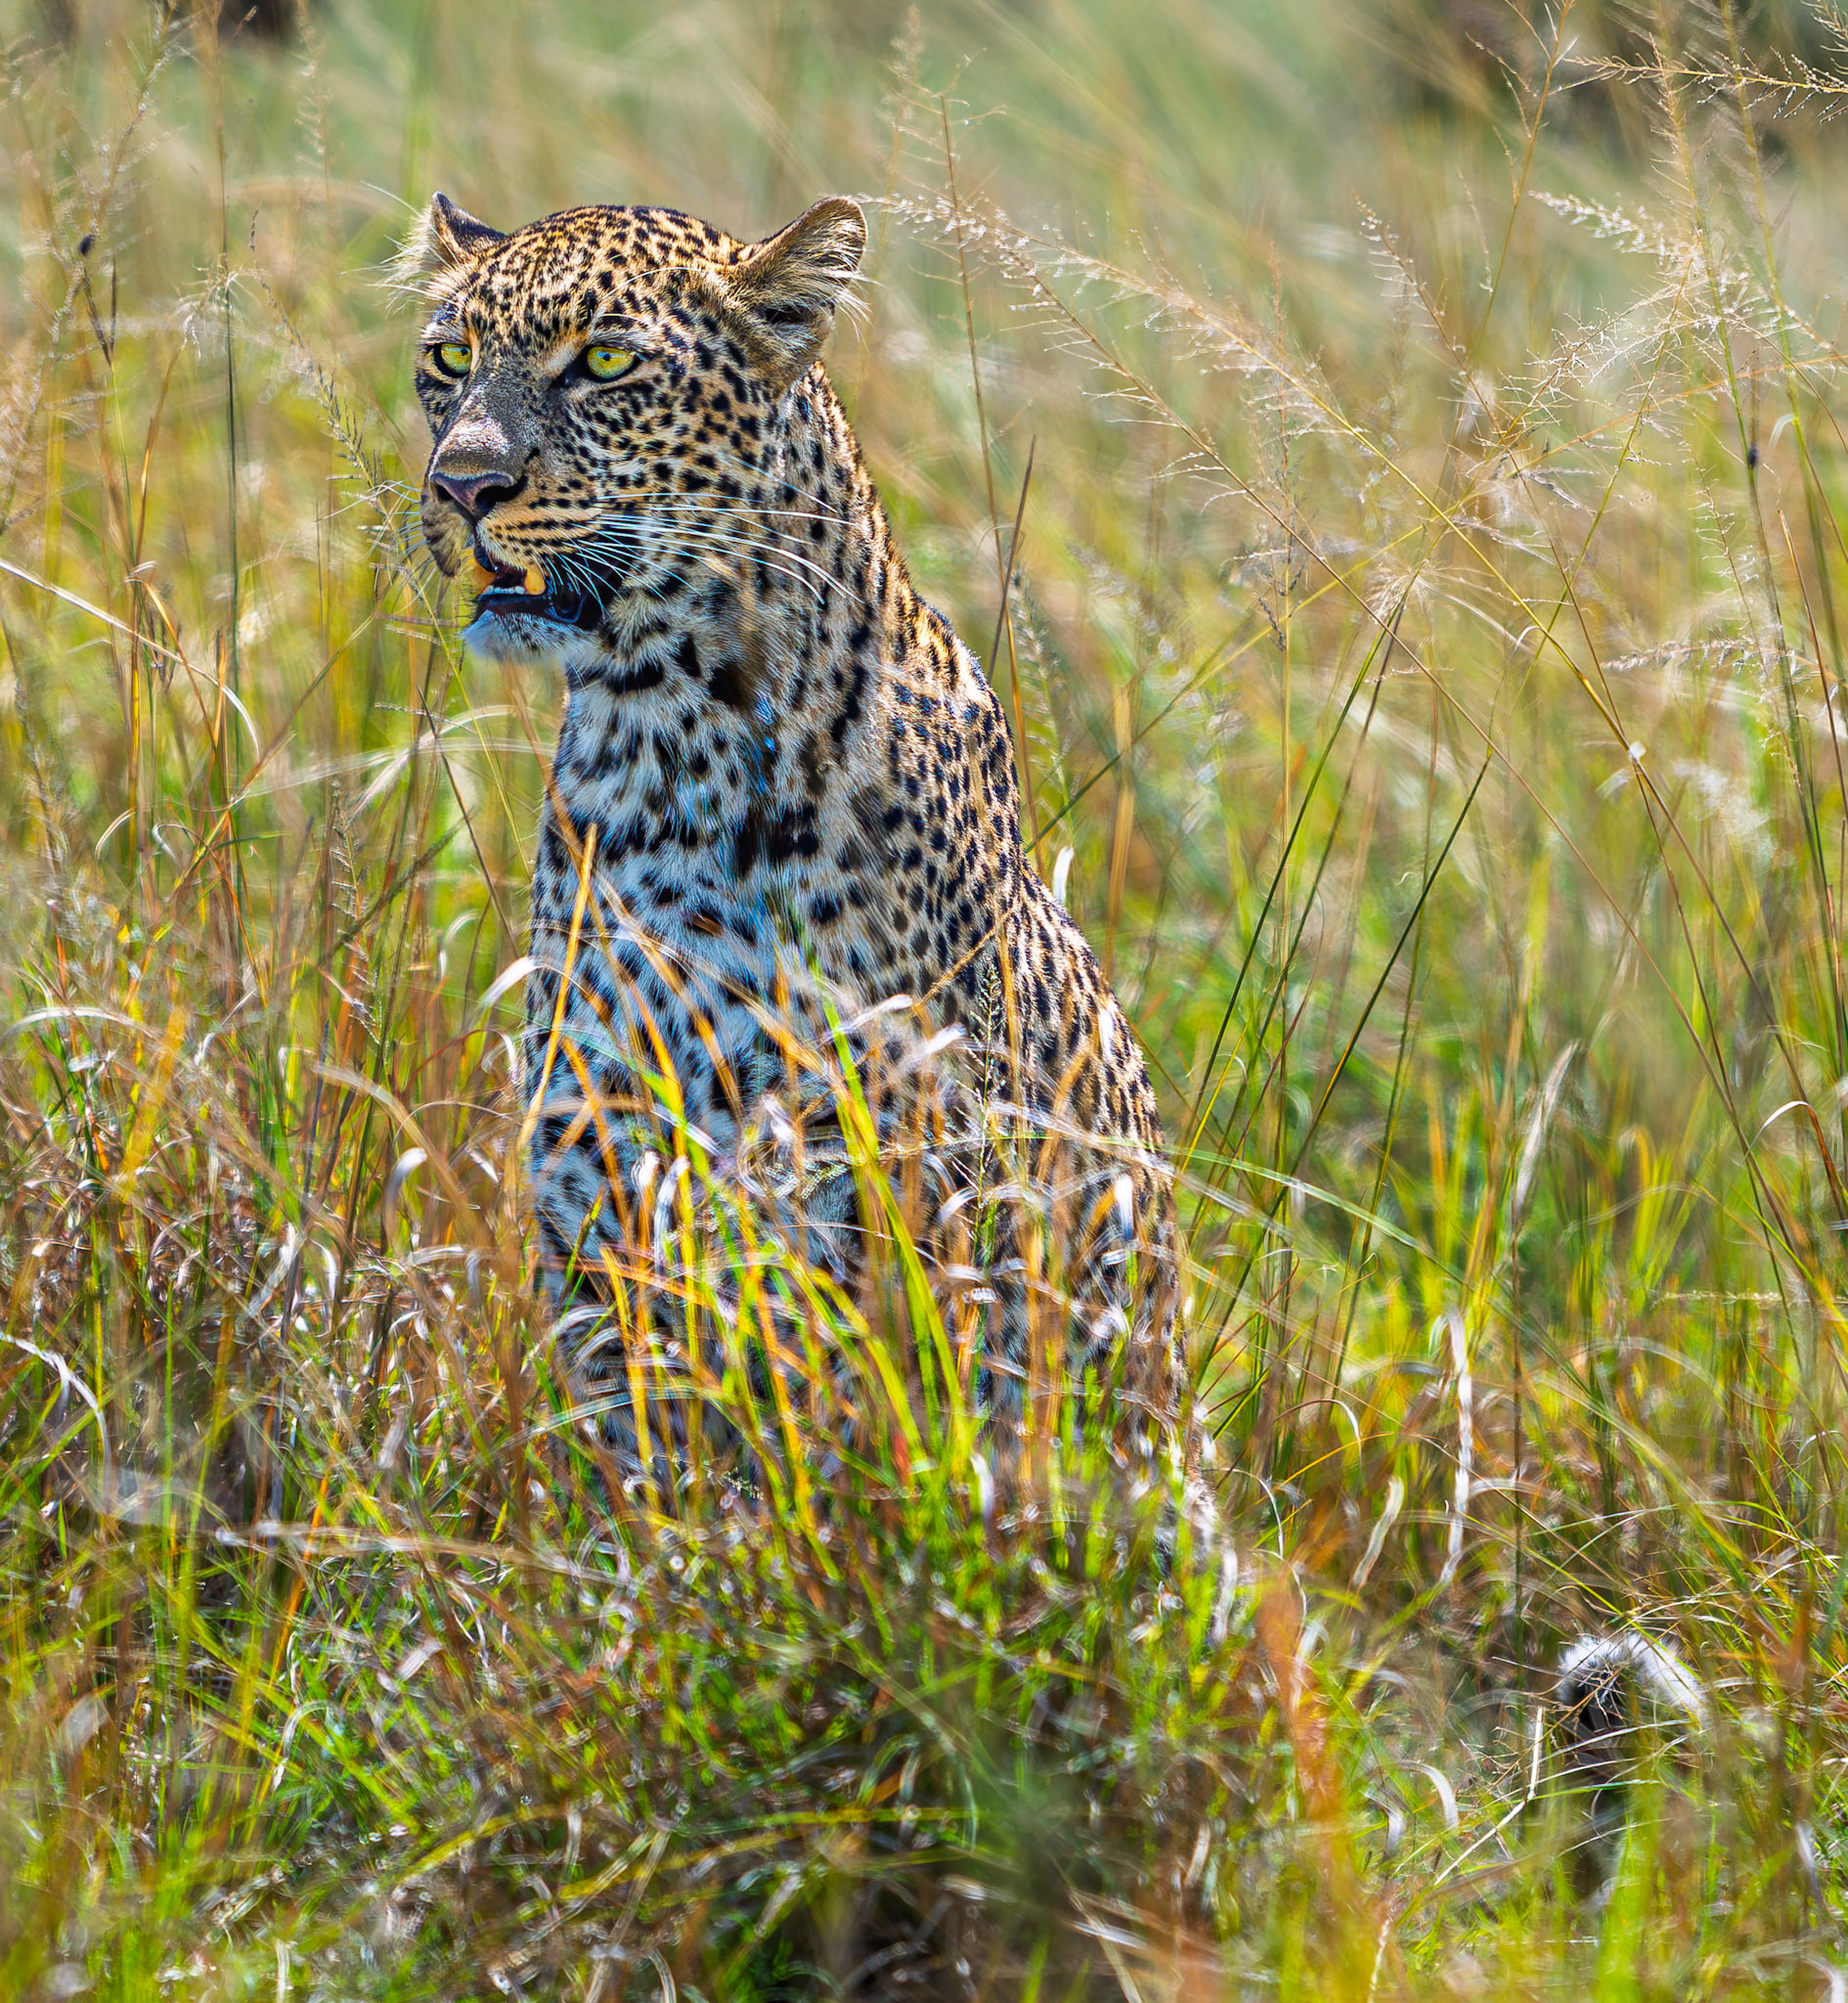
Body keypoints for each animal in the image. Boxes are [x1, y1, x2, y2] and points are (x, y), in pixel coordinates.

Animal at [403, 190, 1179, 1469]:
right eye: (448, 359)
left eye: (604, 363)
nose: (463, 484)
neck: (663, 736)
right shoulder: (594, 1156)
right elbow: (640, 1450)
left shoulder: (891, 1167)